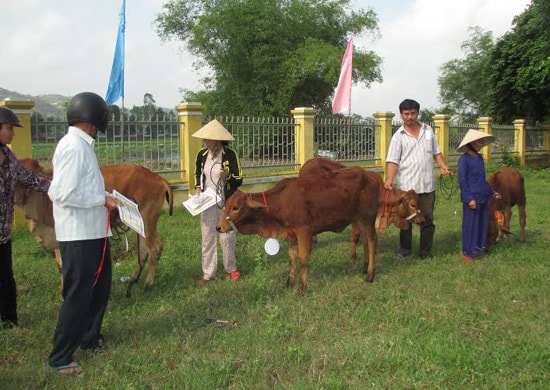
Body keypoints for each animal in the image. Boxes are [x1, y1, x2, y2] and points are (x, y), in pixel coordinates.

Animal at [14, 158, 174, 296]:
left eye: (29, 175)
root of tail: (157, 177)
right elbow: (60, 266)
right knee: (144, 250)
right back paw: (133, 279)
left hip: (147, 221)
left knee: (155, 248)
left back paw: (147, 284)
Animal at [218, 165, 424, 292]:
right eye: (225, 206)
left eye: (235, 207)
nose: (218, 227)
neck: (279, 203)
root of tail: (371, 176)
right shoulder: (291, 235)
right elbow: (291, 258)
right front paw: (289, 282)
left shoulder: (304, 231)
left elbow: (303, 259)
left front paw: (302, 287)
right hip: (359, 219)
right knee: (366, 240)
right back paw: (365, 268)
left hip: (367, 217)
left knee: (372, 241)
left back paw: (370, 274)